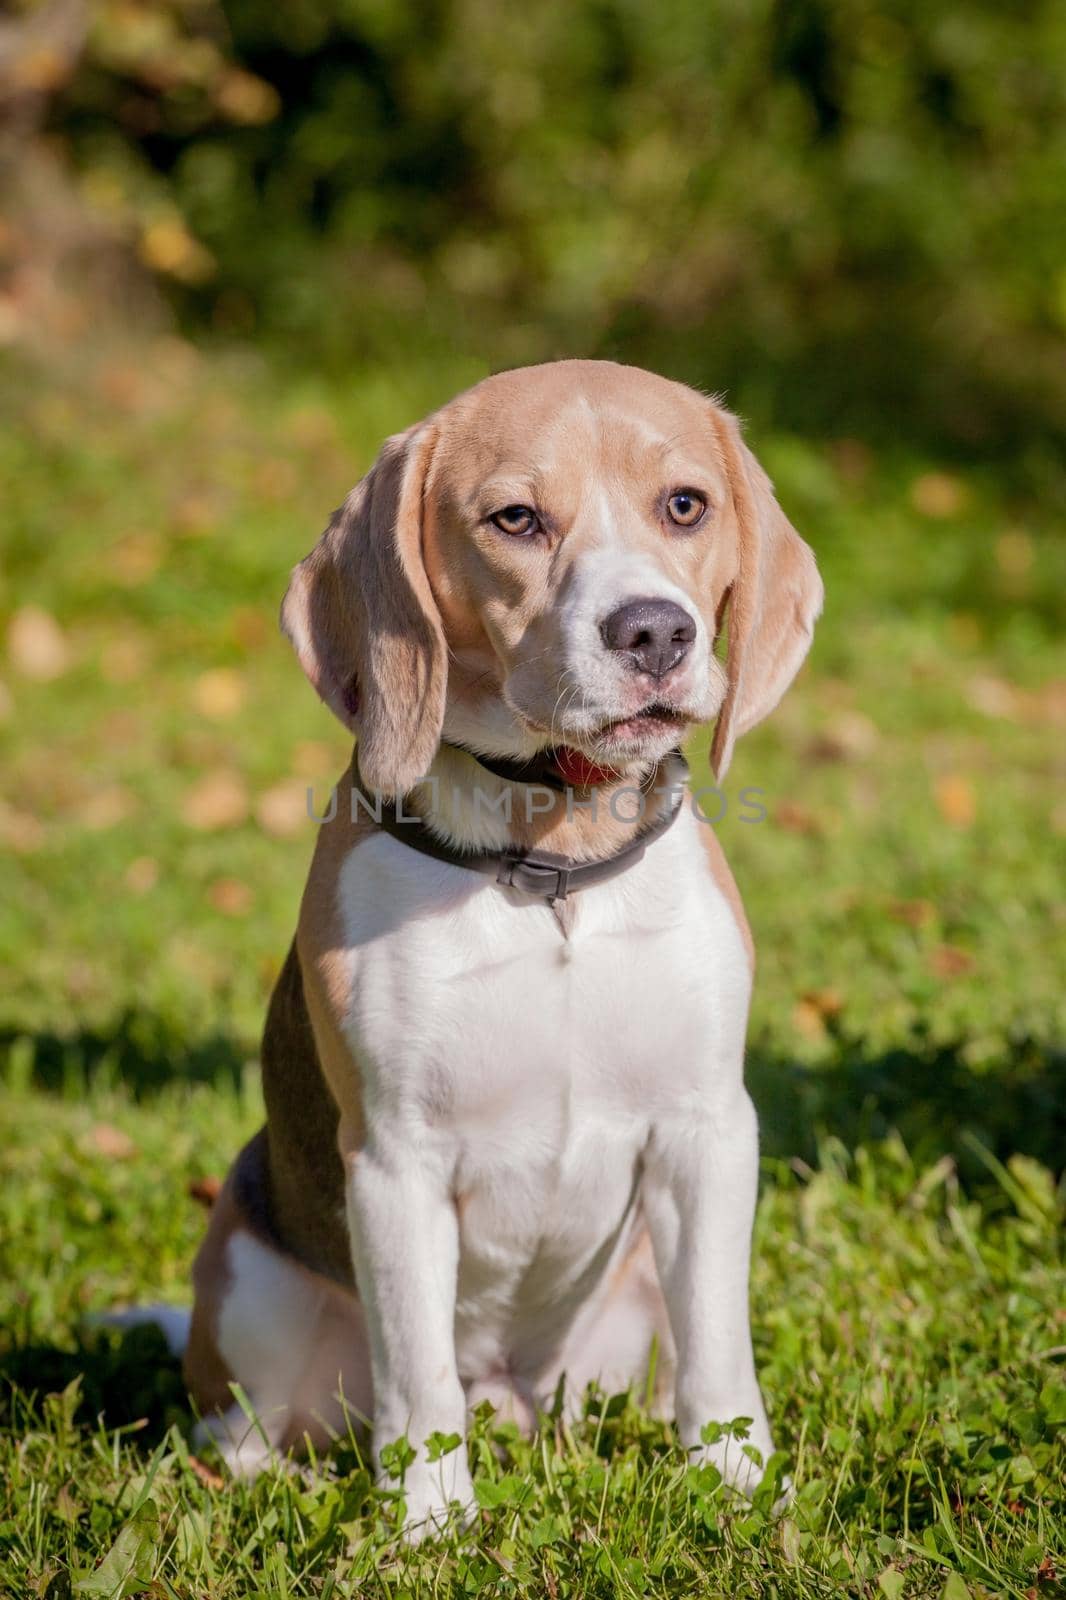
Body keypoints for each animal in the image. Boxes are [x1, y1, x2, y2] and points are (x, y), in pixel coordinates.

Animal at [182, 360, 819, 1536]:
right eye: (515, 519)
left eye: (685, 505)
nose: (654, 633)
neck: (550, 863)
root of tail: (511, 1391)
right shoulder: (393, 1160)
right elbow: (418, 1377)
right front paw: (430, 1526)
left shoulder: (709, 1129)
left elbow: (720, 1343)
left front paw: (739, 1484)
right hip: (250, 1280)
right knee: (249, 1434)